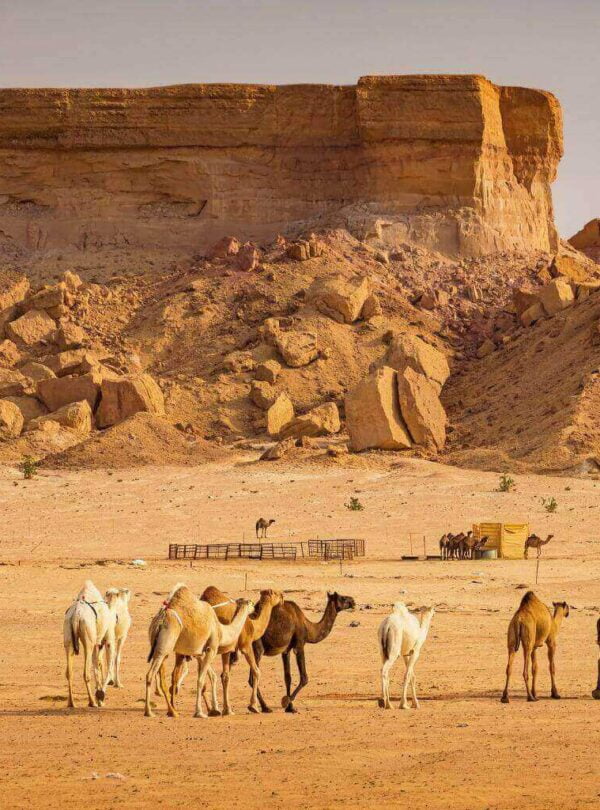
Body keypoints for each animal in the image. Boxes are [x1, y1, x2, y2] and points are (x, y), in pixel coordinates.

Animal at [63, 580, 117, 708]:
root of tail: (76, 614)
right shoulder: (108, 638)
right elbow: (107, 666)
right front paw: (100, 696)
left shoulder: (97, 643)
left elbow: (97, 664)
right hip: (88, 639)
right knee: (86, 672)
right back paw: (92, 702)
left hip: (68, 634)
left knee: (69, 672)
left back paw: (71, 702)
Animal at [144, 583, 220, 718]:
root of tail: (160, 621)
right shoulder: (211, 648)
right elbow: (205, 677)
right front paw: (211, 710)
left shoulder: (195, 652)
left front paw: (210, 709)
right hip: (164, 648)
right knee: (151, 675)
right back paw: (150, 711)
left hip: (159, 649)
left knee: (160, 676)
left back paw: (171, 711)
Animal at [201, 586, 284, 714]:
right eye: (275, 593)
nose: (283, 596)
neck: (254, 626)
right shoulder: (246, 645)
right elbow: (256, 671)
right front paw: (253, 706)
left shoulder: (228, 650)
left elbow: (225, 676)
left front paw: (227, 709)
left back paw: (211, 709)